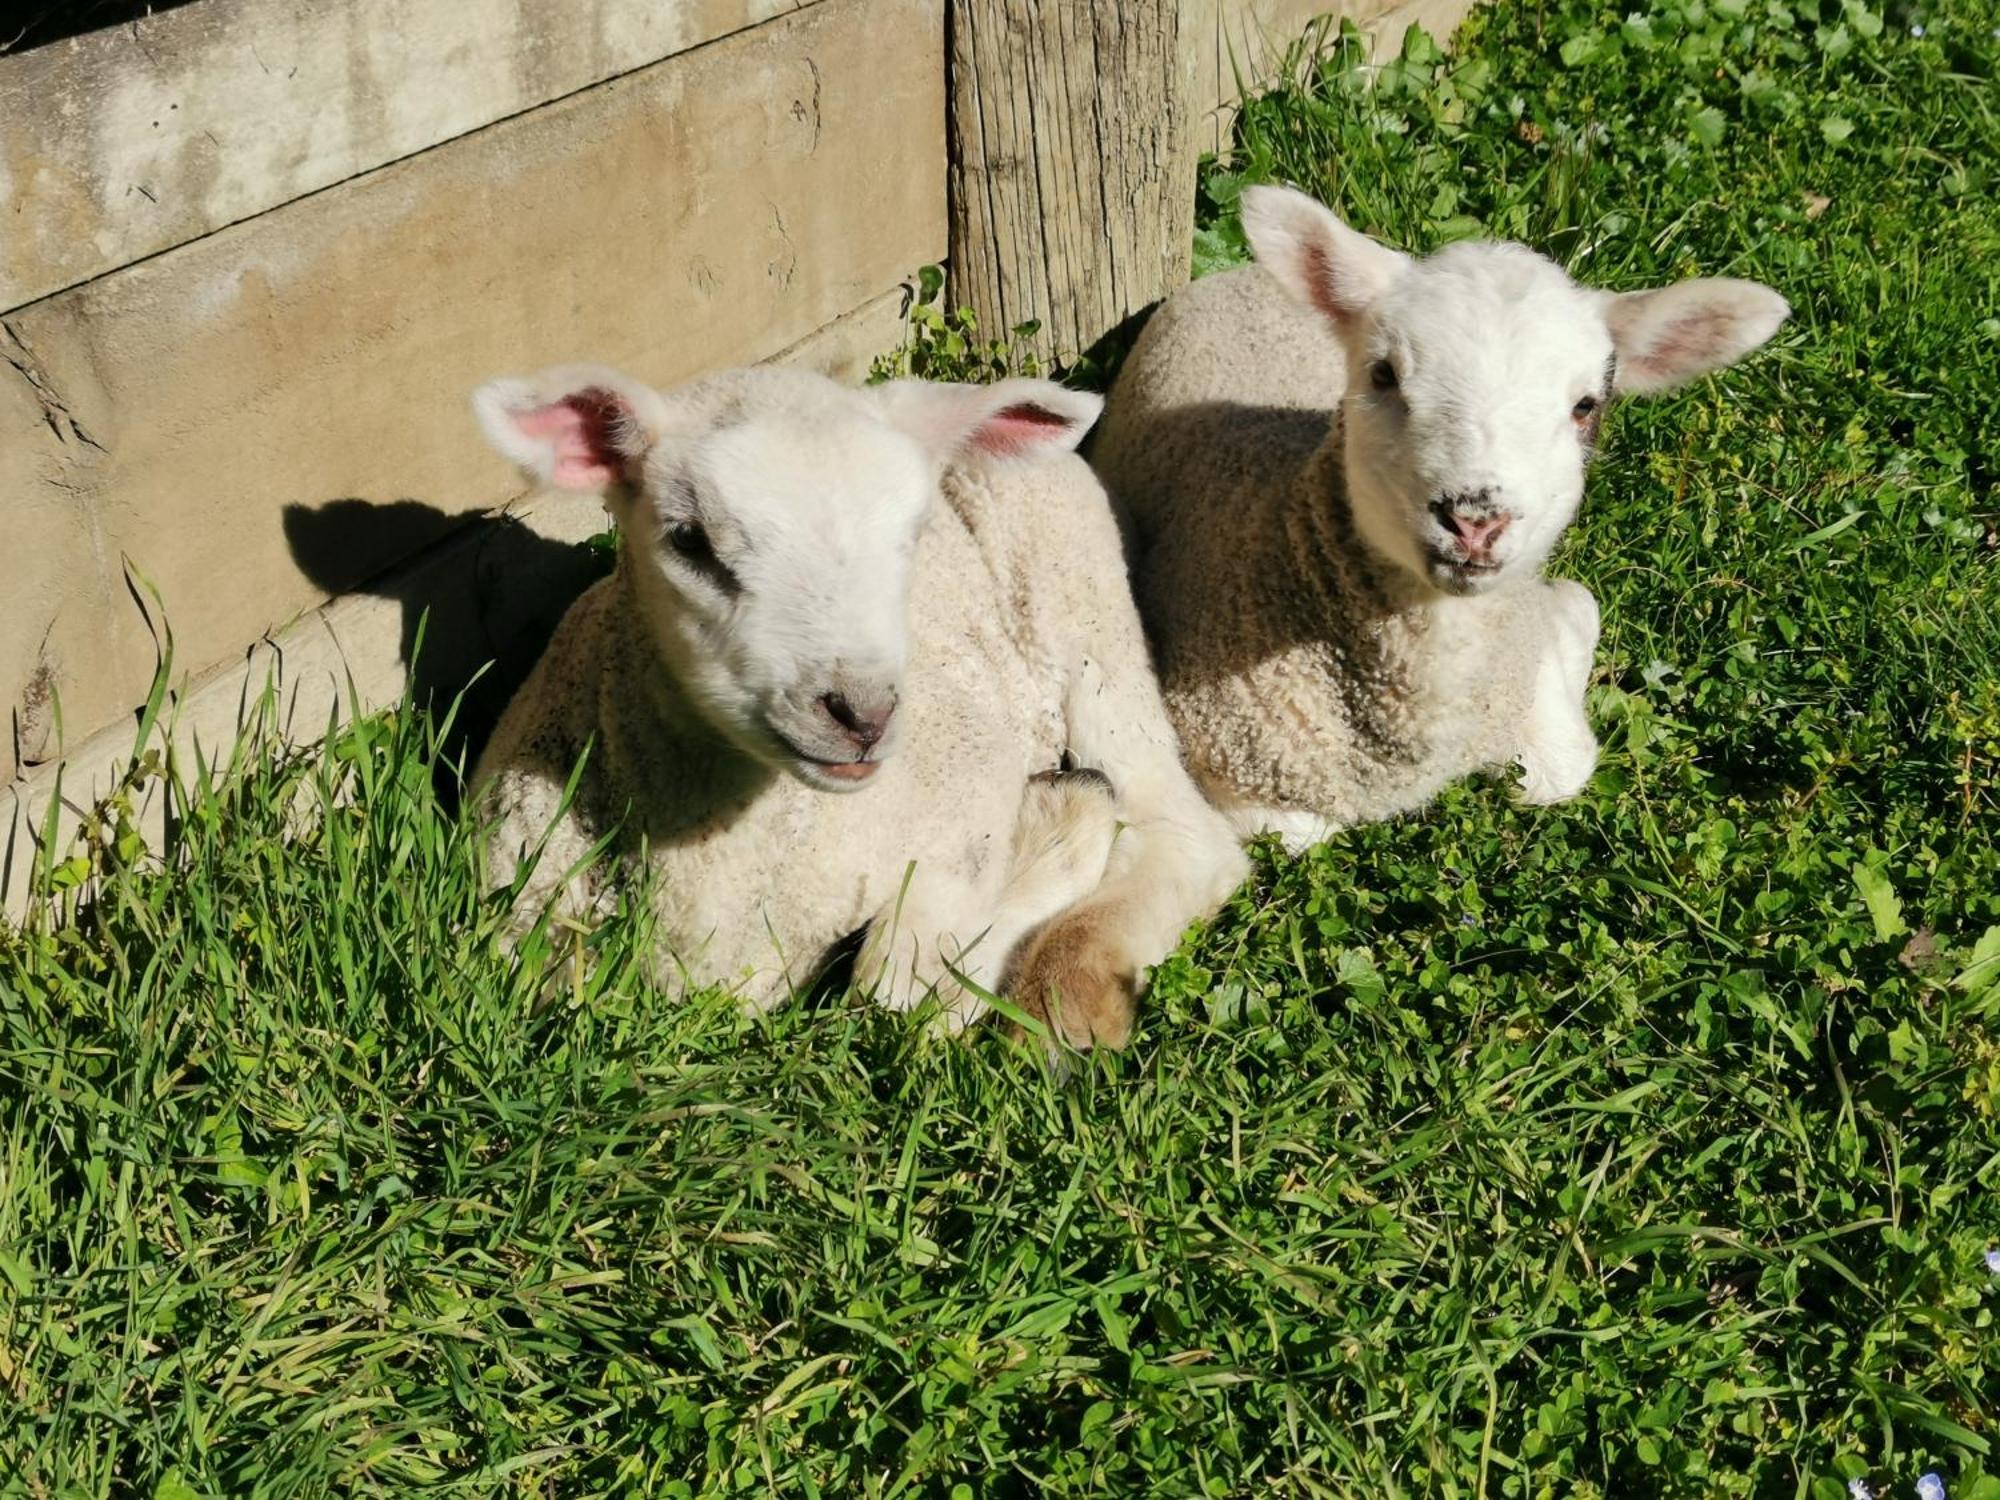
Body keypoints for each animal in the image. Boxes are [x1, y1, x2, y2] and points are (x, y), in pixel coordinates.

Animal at [472, 360, 1248, 1048]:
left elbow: (892, 999)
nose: (864, 715)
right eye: (688, 539)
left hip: (1086, 617)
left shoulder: (969, 789)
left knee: (1186, 832)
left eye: (915, 533)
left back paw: (1067, 1005)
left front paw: (1055, 827)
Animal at [1104, 185, 1792, 856]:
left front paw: (1568, 626)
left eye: (1586, 406)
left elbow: (1558, 766)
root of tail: (1240, 271)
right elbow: (1299, 834)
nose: (1475, 522)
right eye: (1383, 374)